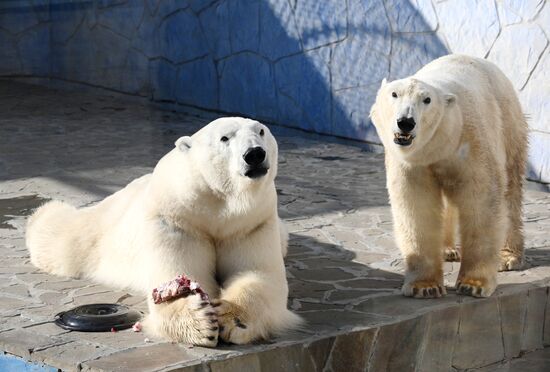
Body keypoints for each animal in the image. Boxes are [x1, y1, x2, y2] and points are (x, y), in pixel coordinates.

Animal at [27, 116, 302, 346]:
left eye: (261, 131)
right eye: (225, 138)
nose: (254, 154)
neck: (216, 209)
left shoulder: (251, 223)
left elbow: (258, 275)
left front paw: (231, 319)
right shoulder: (175, 220)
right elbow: (176, 272)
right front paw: (201, 323)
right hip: (101, 229)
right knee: (61, 237)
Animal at [370, 55, 532, 298]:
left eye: (426, 99)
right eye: (394, 94)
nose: (406, 122)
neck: (439, 145)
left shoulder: (472, 144)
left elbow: (481, 202)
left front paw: (473, 284)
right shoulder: (413, 164)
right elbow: (417, 208)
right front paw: (425, 286)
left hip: (508, 122)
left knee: (510, 190)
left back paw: (508, 256)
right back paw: (447, 250)